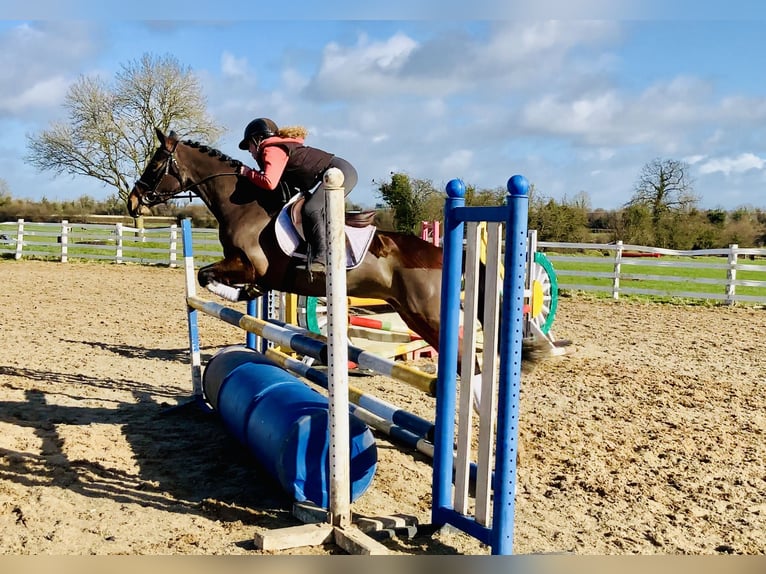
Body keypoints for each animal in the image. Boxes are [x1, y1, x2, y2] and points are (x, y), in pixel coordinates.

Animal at [129, 129, 556, 378]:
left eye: (155, 163)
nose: (134, 201)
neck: (243, 206)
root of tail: (440, 255)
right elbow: (209, 277)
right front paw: (245, 296)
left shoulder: (251, 265)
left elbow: (207, 275)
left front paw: (237, 294)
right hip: (411, 314)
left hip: (428, 313)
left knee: (467, 354)